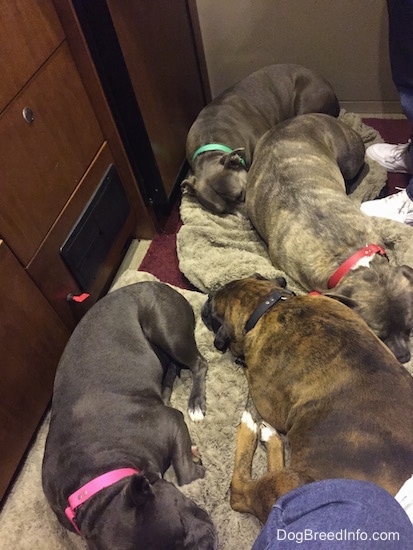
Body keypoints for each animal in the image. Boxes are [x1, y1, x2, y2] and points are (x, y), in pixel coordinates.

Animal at [41, 282, 216, 548]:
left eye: (182, 520)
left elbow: (185, 475)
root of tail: (160, 284)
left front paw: (198, 470)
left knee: (198, 363)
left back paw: (195, 402)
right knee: (171, 369)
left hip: (165, 330)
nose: (207, 544)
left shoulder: (172, 421)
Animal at [200, 276, 413, 528]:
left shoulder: (267, 400)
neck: (268, 306)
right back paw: (270, 437)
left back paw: (249, 428)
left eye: (213, 308)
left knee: (239, 492)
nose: (207, 296)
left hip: (292, 486)